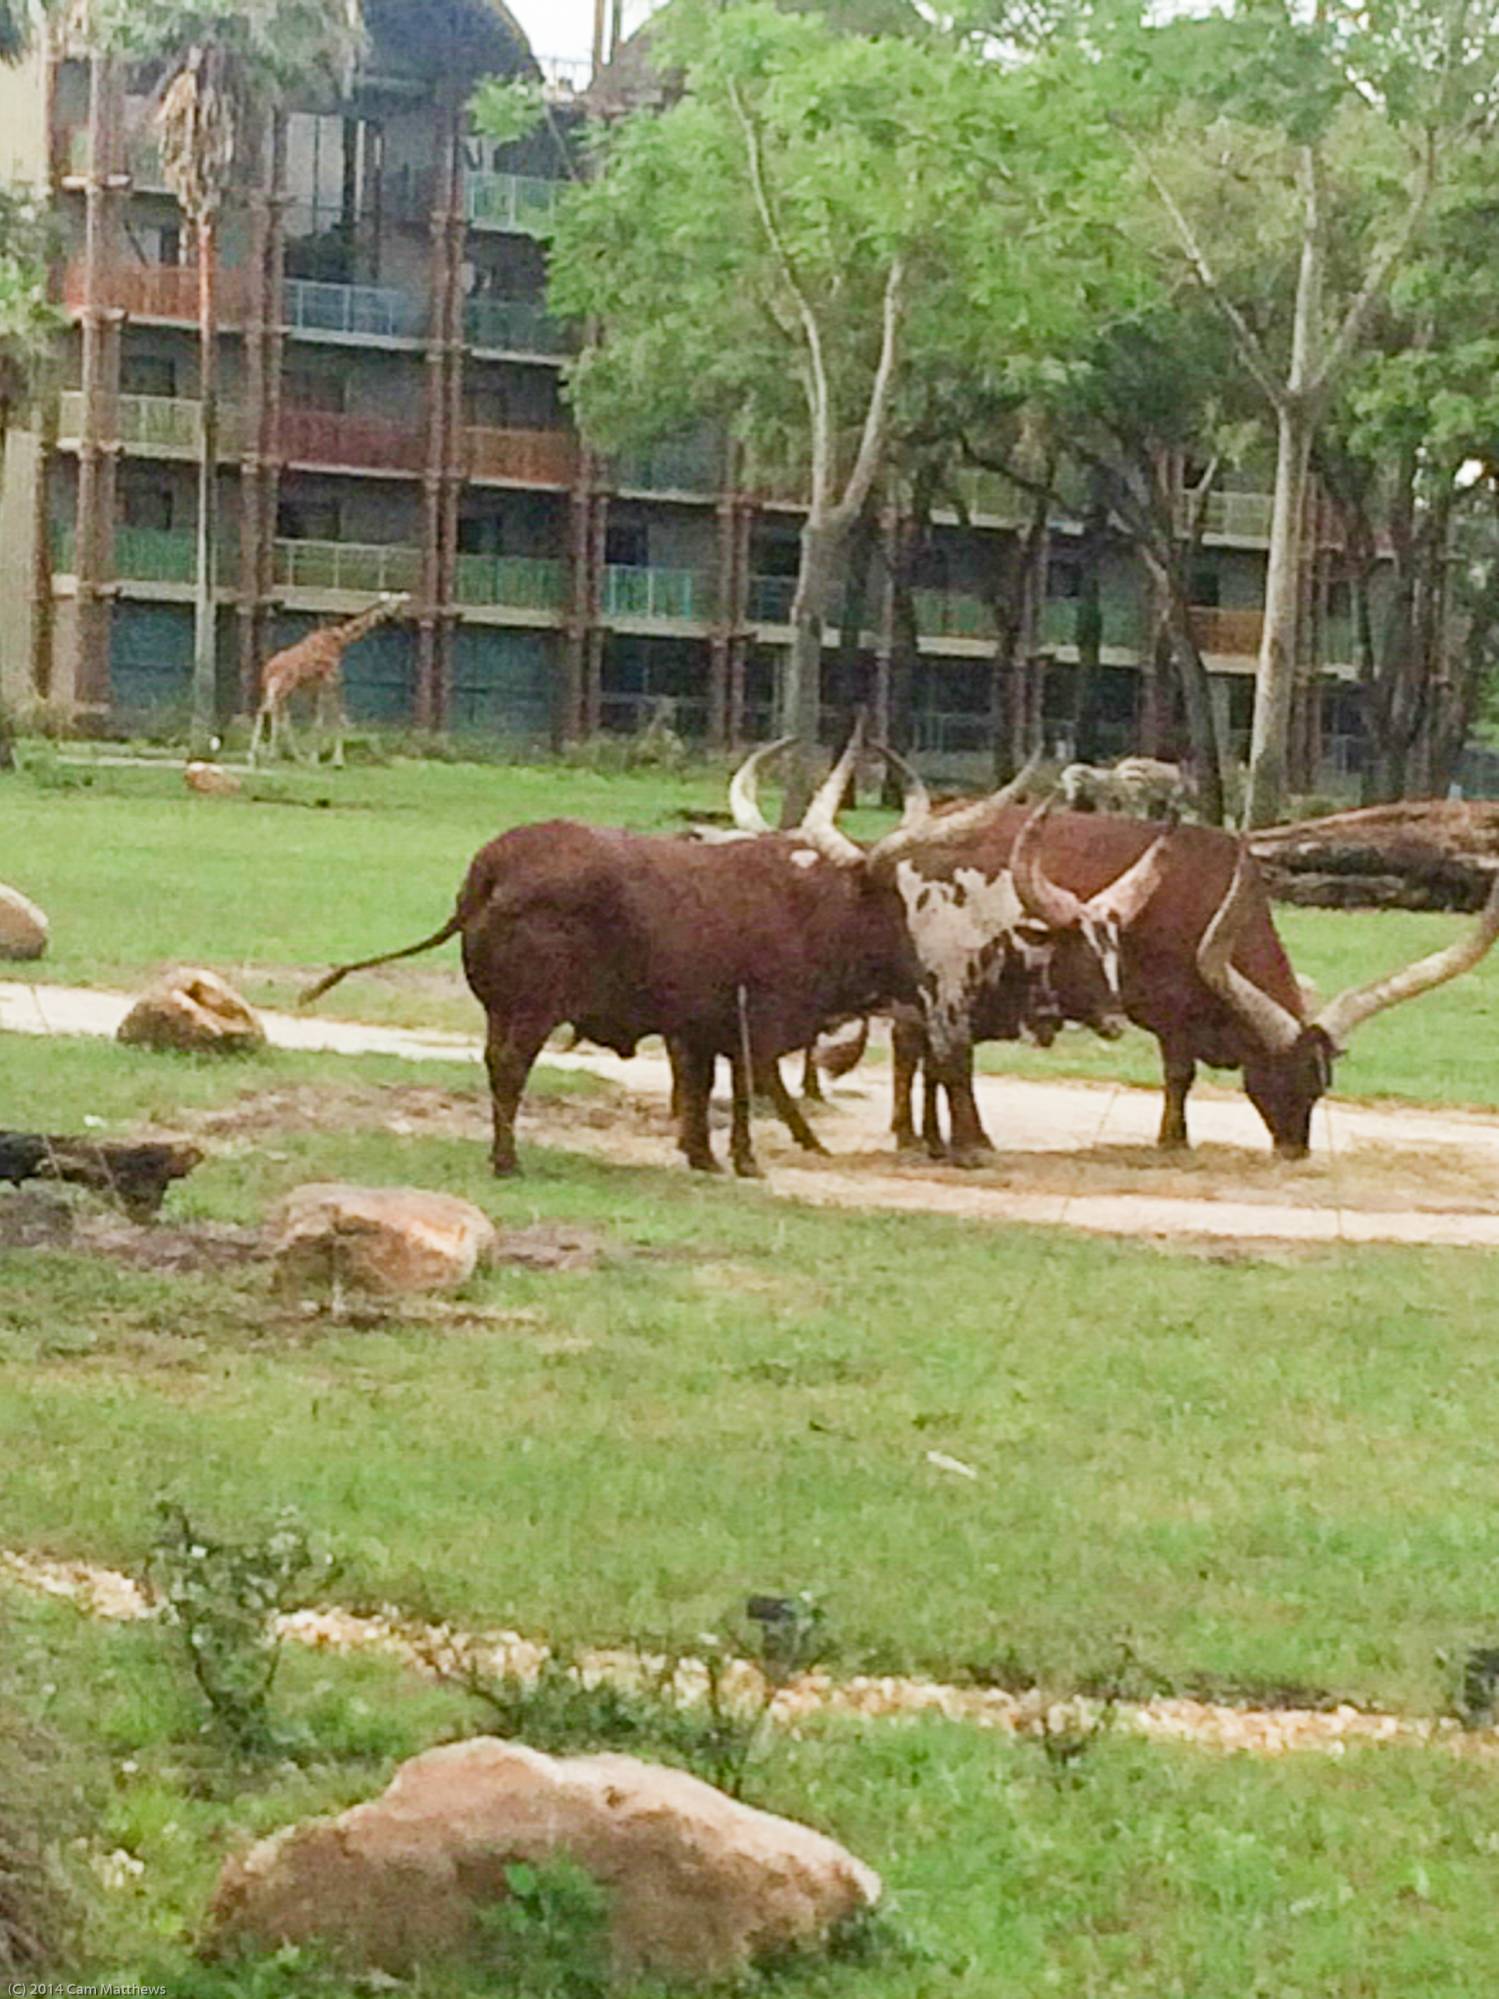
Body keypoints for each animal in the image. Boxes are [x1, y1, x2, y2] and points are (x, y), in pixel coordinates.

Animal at [247, 587, 413, 767]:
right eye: (395, 604)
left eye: (400, 604)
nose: (400, 619)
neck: (340, 640)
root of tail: (268, 670)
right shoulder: (332, 679)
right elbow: (333, 717)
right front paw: (334, 760)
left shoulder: (315, 687)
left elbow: (317, 719)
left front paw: (315, 757)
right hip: (283, 689)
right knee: (272, 713)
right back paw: (271, 756)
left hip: (274, 690)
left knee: (269, 713)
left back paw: (268, 756)